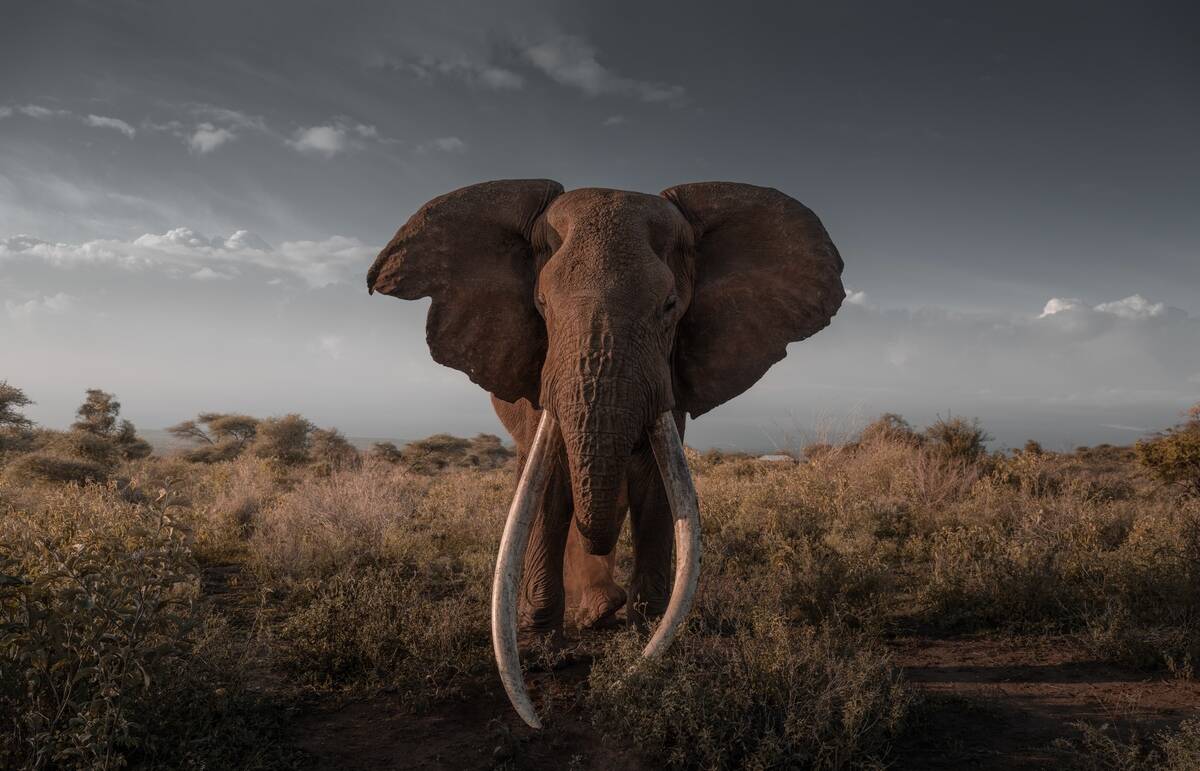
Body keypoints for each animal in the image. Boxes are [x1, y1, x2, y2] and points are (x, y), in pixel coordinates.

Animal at [366, 180, 845, 727]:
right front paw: (545, 658)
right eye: (541, 304)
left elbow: (657, 486)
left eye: (670, 306)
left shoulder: (670, 374)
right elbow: (550, 488)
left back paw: (602, 612)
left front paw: (644, 645)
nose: (541, 720)